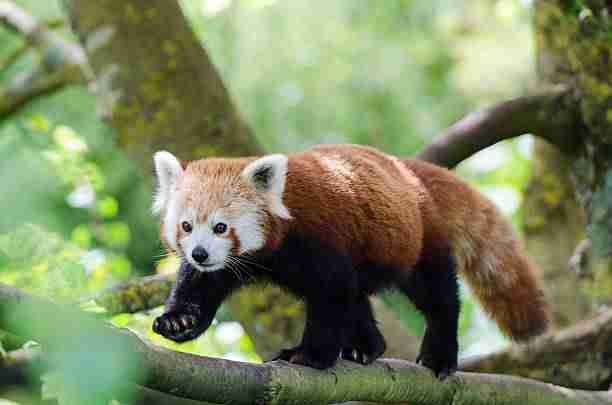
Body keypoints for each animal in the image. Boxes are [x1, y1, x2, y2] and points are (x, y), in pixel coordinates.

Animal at [152, 142, 548, 376]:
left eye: (221, 227)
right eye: (186, 226)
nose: (200, 253)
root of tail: (406, 169)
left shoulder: (319, 239)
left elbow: (330, 296)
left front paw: (310, 355)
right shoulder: (230, 263)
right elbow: (200, 285)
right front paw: (179, 322)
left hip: (417, 240)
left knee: (436, 295)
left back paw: (439, 354)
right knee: (358, 299)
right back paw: (366, 348)